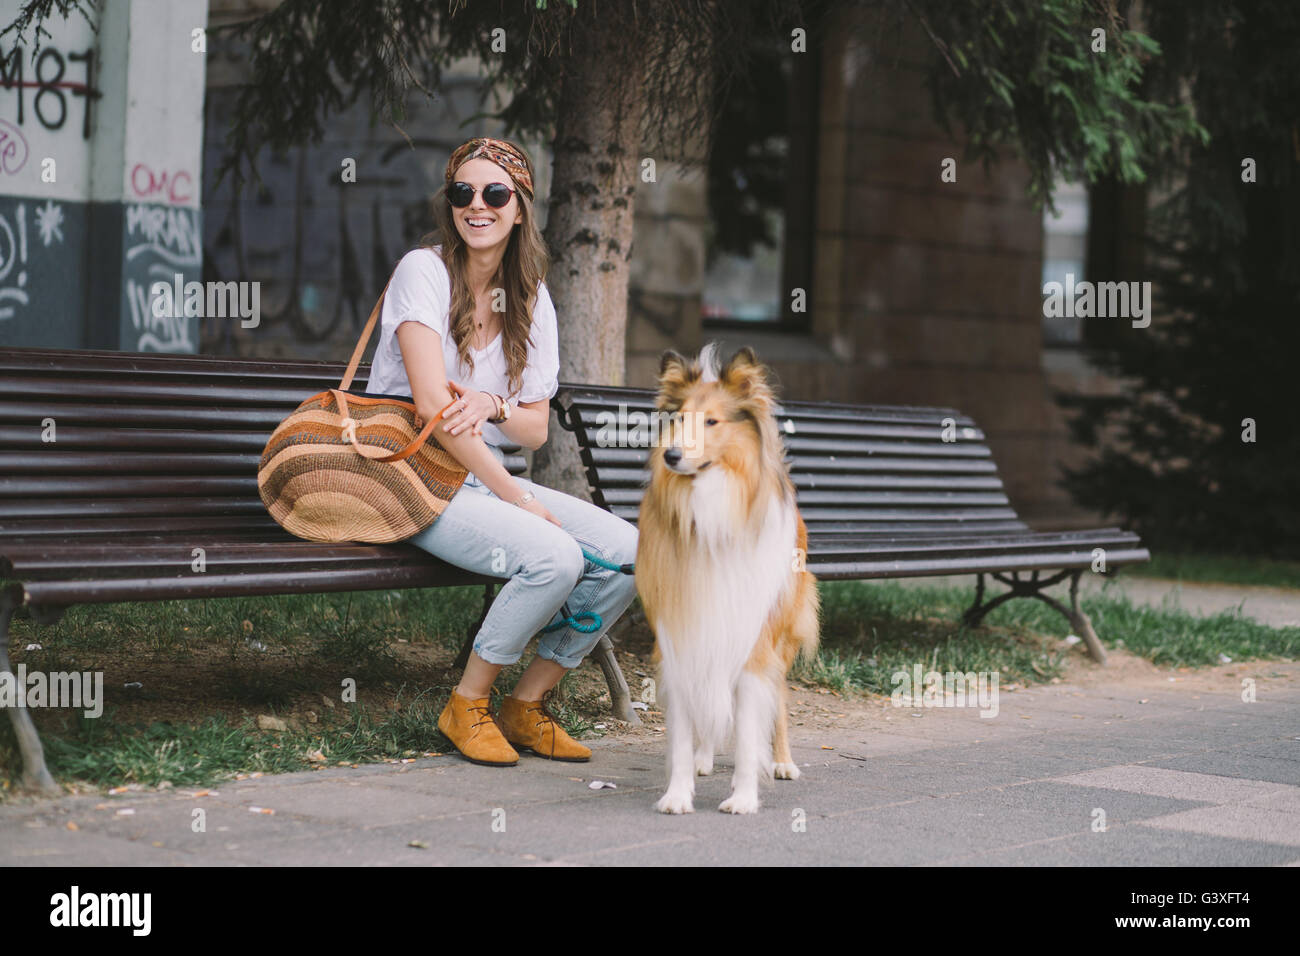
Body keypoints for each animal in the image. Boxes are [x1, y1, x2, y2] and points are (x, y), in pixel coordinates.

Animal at [634, 343, 816, 816]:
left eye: (712, 421)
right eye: (679, 419)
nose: (671, 457)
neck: (711, 509)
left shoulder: (753, 642)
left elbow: (751, 731)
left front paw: (744, 796)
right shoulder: (681, 634)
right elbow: (684, 731)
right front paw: (677, 794)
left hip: (781, 634)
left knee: (780, 698)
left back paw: (783, 761)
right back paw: (705, 757)